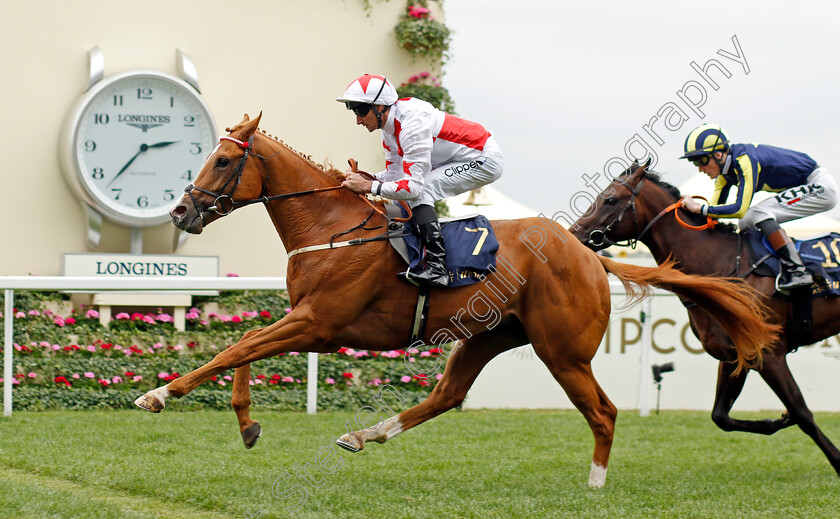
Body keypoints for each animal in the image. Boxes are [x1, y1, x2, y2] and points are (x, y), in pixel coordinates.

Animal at [133, 114, 780, 488]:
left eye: (222, 159)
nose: (181, 211)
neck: (332, 226)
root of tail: (587, 255)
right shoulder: (308, 321)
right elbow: (243, 348)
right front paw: (247, 425)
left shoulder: (318, 322)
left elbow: (235, 349)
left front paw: (158, 394)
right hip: (490, 337)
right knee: (448, 395)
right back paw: (366, 435)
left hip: (562, 351)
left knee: (604, 411)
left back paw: (595, 484)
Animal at [572, 160, 840, 478]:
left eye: (610, 199)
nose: (573, 235)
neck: (722, 268)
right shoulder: (736, 355)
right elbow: (720, 415)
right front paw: (775, 421)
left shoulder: (769, 353)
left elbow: (803, 413)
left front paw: (837, 461)